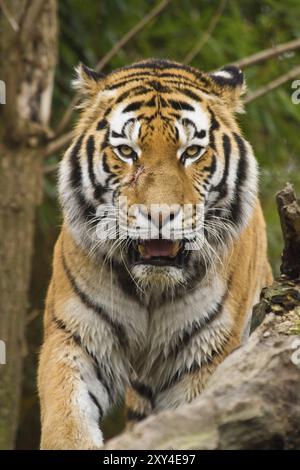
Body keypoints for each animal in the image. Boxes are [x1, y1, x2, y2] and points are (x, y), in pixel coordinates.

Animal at [37, 57, 272, 448]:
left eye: (191, 152)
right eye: (127, 152)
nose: (160, 215)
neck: (152, 290)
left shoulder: (206, 354)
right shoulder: (76, 336)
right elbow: (67, 418)